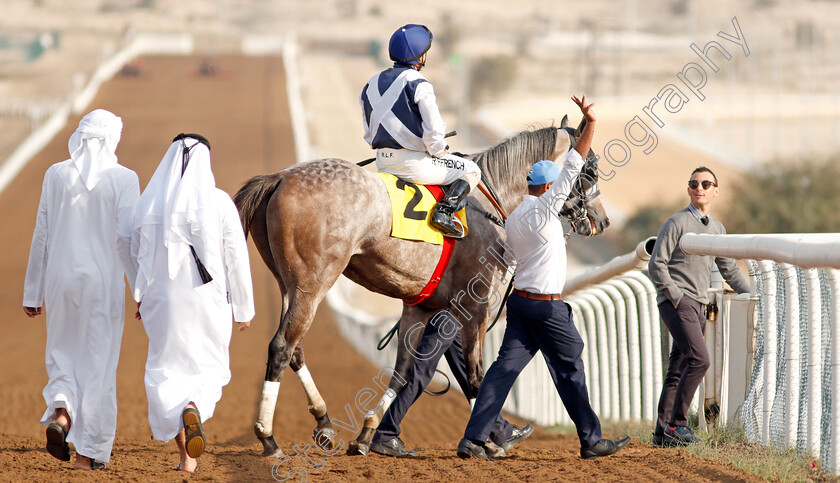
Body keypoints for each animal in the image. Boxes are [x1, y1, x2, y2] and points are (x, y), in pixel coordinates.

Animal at [233, 114, 608, 458]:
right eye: (589, 170)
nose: (602, 220)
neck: (493, 200)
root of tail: (281, 176)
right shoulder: (476, 308)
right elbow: (477, 374)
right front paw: (484, 442)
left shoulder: (420, 306)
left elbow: (402, 373)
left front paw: (368, 435)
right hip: (314, 283)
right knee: (282, 346)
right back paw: (268, 437)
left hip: (289, 284)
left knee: (295, 349)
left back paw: (324, 423)